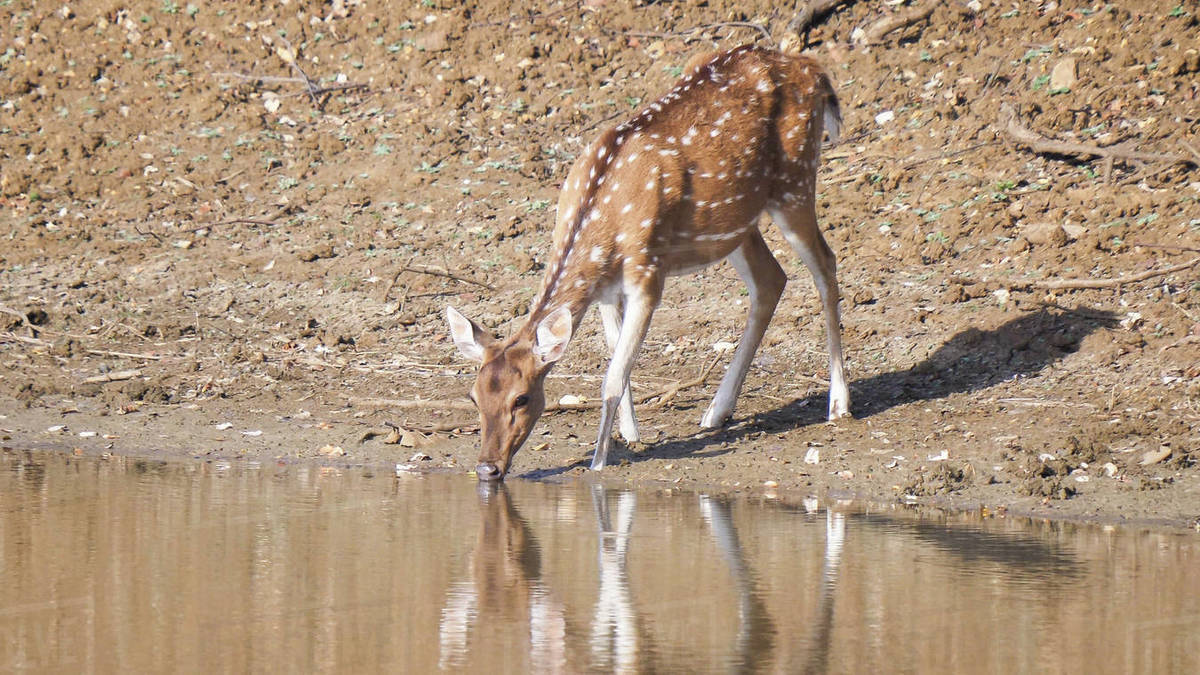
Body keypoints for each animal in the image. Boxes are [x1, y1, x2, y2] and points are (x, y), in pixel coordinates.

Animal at [446, 45, 850, 481]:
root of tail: (814, 70)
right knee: (771, 279)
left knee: (826, 264)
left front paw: (599, 461)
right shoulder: (606, 289)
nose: (487, 468)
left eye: (521, 399)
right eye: (473, 395)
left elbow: (612, 376)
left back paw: (838, 404)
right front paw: (629, 433)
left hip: (795, 181)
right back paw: (716, 412)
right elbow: (616, 360)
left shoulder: (648, 272)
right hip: (736, 222)